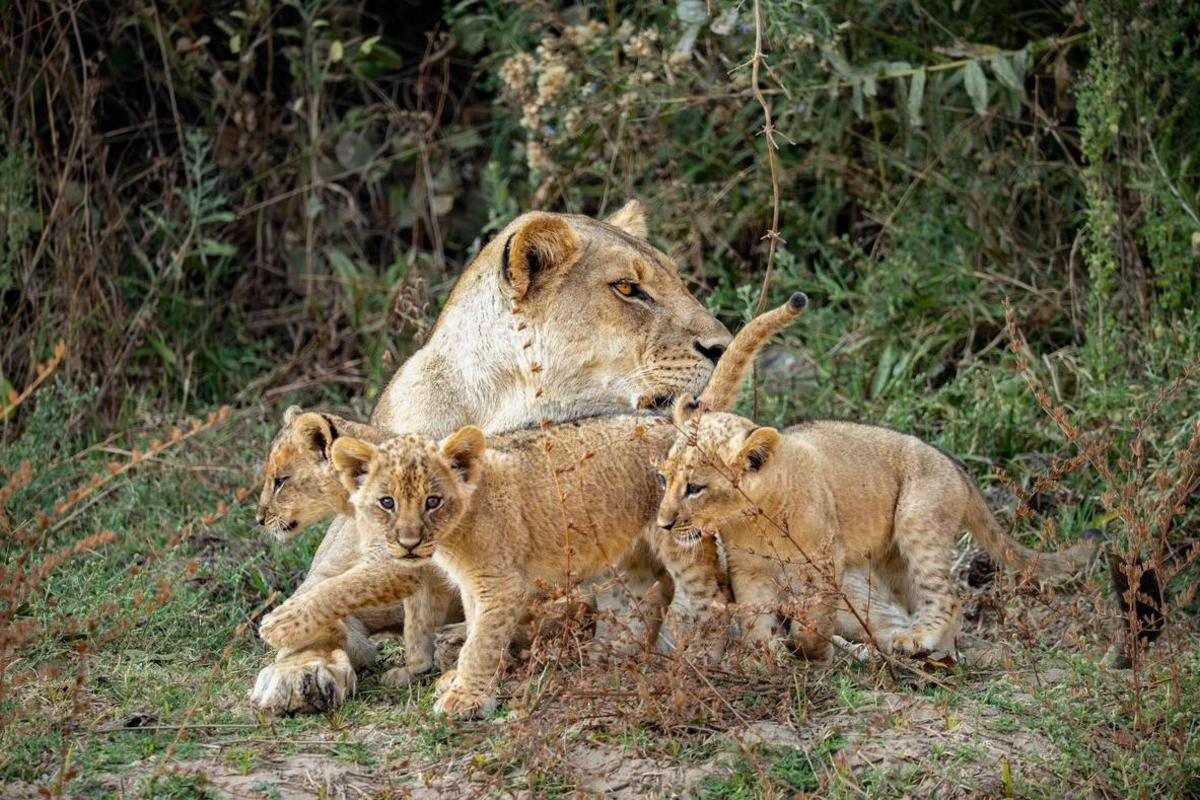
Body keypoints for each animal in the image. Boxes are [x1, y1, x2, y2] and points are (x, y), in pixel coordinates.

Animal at [251, 201, 734, 715]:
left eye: (678, 281)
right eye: (627, 288)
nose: (723, 347)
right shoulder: (345, 566)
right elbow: (321, 606)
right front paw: (301, 671)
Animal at [655, 408, 1098, 660]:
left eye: (694, 488)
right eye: (664, 479)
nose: (663, 524)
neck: (753, 520)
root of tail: (956, 467)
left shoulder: (823, 562)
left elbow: (816, 617)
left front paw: (808, 650)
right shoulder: (748, 570)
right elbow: (752, 613)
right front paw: (765, 652)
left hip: (918, 518)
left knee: (947, 597)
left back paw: (916, 642)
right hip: (891, 560)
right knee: (914, 600)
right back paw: (937, 652)